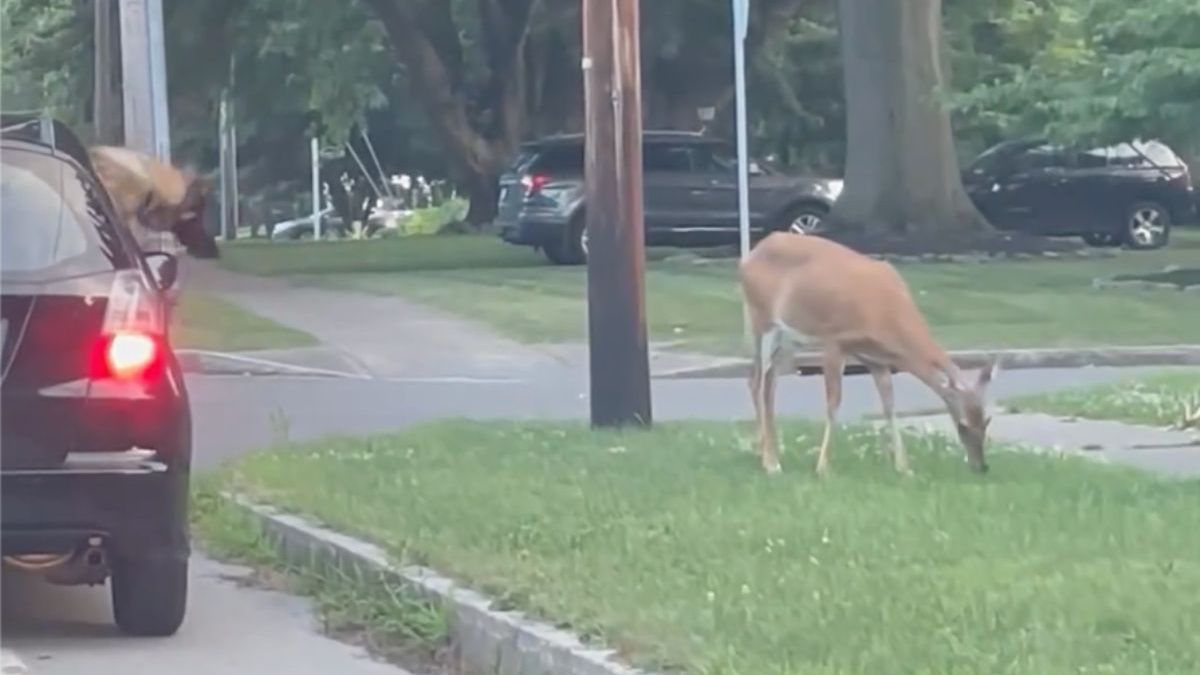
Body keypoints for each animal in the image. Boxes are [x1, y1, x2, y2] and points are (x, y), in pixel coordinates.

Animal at [734, 234, 998, 475]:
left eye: (986, 421)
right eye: (962, 426)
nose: (981, 466)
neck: (885, 312)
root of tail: (752, 254)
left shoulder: (877, 360)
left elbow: (889, 405)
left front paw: (904, 467)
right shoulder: (835, 340)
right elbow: (833, 403)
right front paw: (822, 467)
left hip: (791, 339)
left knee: (763, 381)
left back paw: (765, 452)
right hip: (762, 321)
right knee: (760, 383)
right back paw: (771, 462)